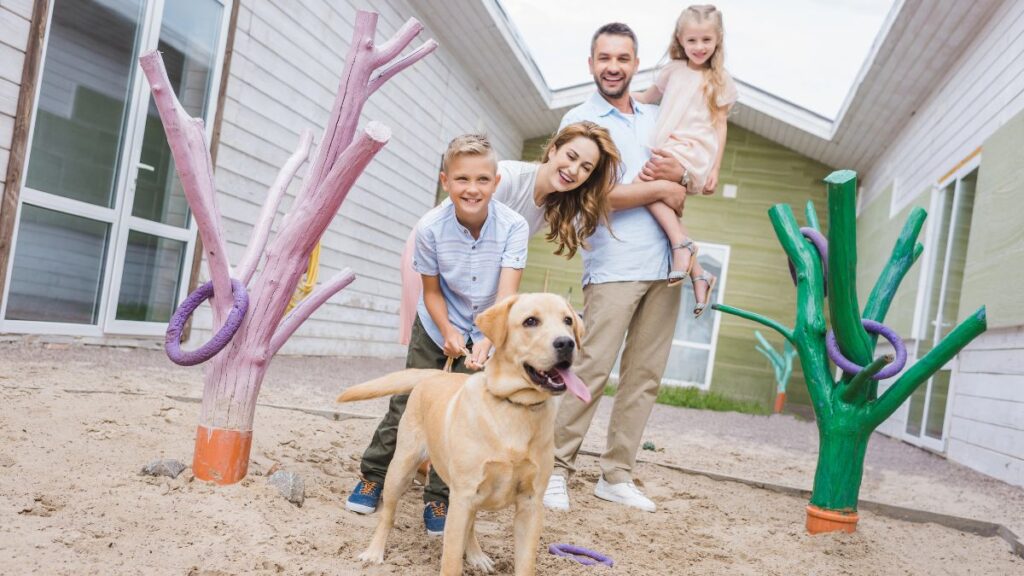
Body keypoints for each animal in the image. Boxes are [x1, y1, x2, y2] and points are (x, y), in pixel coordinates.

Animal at [337, 293, 589, 569]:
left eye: (568, 321)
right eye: (530, 321)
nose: (566, 343)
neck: (516, 406)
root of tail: (437, 375)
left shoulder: (530, 504)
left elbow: (524, 564)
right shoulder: (463, 497)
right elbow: (450, 560)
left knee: (471, 525)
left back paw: (477, 555)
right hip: (402, 469)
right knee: (388, 515)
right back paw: (374, 552)